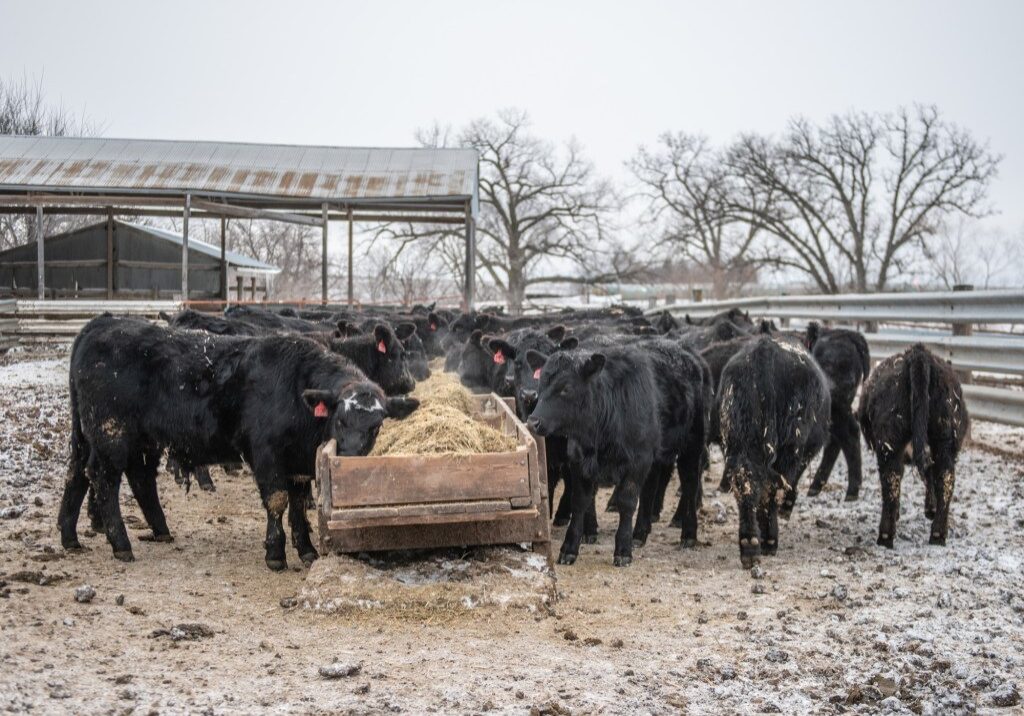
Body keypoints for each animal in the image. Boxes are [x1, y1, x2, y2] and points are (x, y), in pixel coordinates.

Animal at [57, 315, 419, 570]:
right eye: (340, 419)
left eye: (376, 425)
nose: (351, 455)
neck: (295, 385)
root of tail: (101, 324)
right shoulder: (267, 452)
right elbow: (278, 500)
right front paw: (275, 553)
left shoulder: (298, 462)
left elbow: (298, 502)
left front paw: (307, 550)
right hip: (112, 434)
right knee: (104, 478)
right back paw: (121, 543)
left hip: (116, 438)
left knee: (96, 473)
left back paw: (78, 535)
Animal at [718, 334, 831, 568]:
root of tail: (763, 353)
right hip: (790, 444)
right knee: (772, 486)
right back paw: (769, 540)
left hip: (738, 439)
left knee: (747, 482)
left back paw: (750, 543)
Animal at [858, 344, 968, 548]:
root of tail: (918, 353)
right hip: (944, 441)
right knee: (945, 478)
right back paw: (938, 534)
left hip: (890, 444)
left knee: (892, 480)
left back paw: (885, 536)